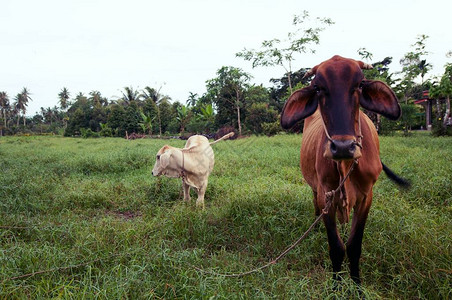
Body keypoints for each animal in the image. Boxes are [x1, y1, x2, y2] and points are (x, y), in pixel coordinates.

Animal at [280, 55, 408, 284]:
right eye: (318, 88)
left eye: (359, 84)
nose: (342, 146)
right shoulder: (326, 196)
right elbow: (337, 248)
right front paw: (336, 285)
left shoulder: (367, 197)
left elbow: (354, 246)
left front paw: (356, 285)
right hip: (315, 189)